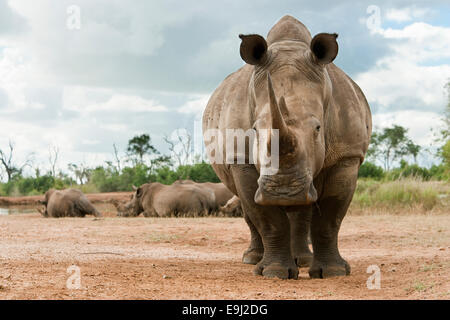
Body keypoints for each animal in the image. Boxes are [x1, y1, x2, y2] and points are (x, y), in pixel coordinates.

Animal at [202, 15, 370, 280]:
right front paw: (273, 272)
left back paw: (303, 260)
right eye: (255, 130)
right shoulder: (240, 158)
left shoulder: (347, 155)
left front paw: (333, 272)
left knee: (304, 209)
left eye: (318, 128)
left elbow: (330, 218)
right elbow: (267, 218)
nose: (283, 191)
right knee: (248, 207)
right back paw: (252, 259)